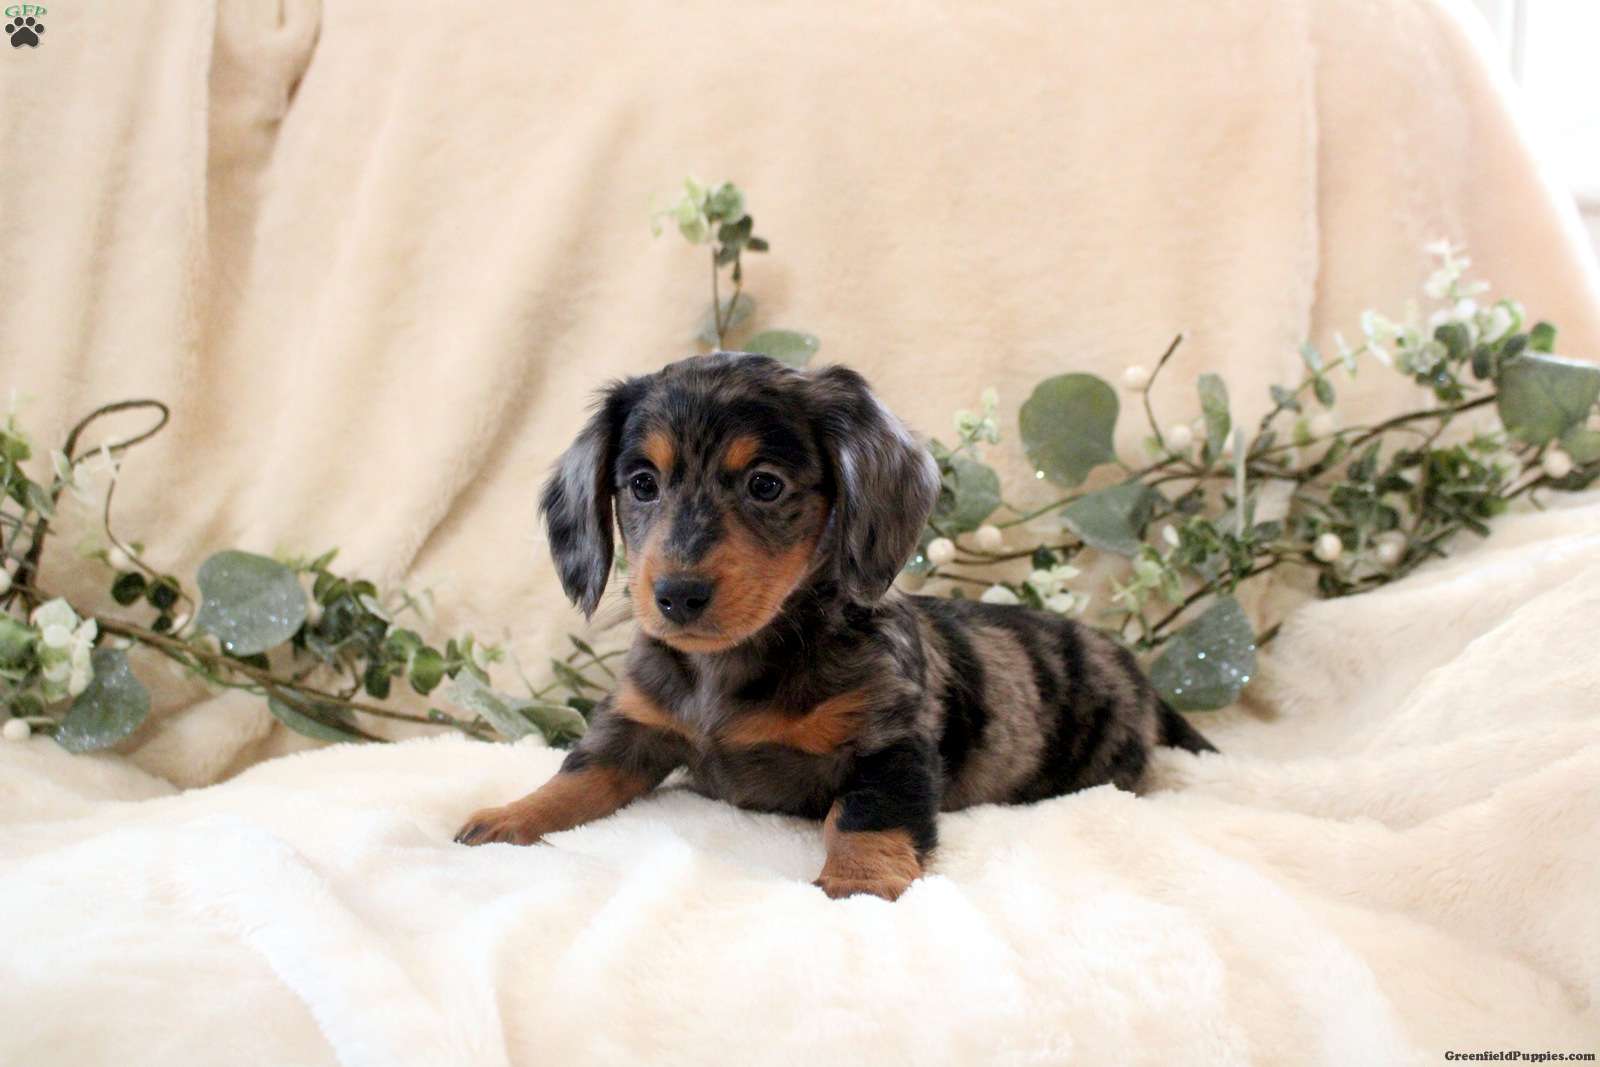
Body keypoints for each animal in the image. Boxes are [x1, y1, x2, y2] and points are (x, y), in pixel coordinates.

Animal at [455, 352, 1216, 900]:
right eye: (642, 484)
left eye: (765, 485)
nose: (676, 596)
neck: (737, 664)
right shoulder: (633, 729)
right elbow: (577, 777)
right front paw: (511, 815)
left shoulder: (889, 747)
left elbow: (864, 814)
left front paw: (859, 879)